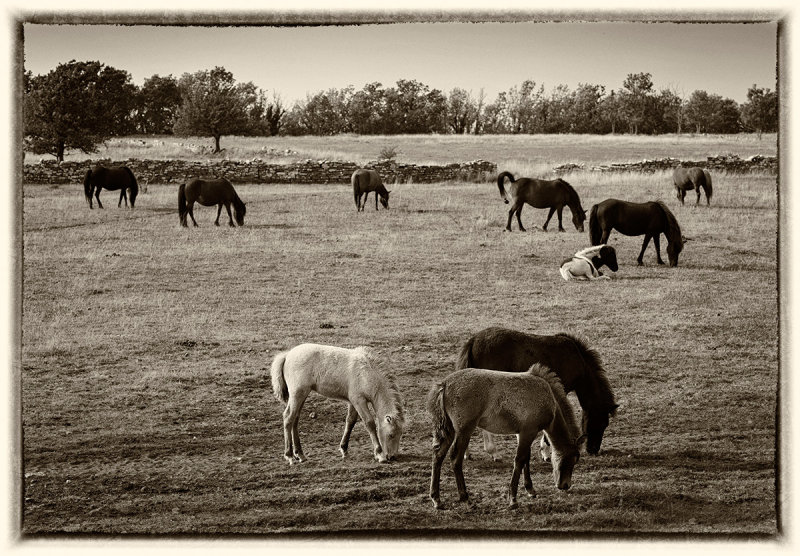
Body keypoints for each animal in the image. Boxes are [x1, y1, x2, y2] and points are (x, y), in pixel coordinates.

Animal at [270, 344, 406, 464]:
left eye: (400, 434)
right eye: (391, 435)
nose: (392, 456)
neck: (367, 372)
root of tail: (287, 355)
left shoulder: (353, 402)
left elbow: (350, 421)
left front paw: (344, 449)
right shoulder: (359, 401)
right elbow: (370, 423)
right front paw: (379, 454)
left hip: (301, 395)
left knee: (295, 418)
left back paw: (300, 455)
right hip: (297, 394)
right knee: (288, 417)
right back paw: (289, 456)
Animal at [428, 362, 584, 510]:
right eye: (571, 459)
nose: (565, 485)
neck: (548, 398)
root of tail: (445, 384)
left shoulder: (522, 433)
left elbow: (526, 458)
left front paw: (530, 489)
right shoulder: (529, 431)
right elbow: (519, 460)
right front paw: (513, 499)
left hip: (449, 430)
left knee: (438, 455)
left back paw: (437, 499)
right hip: (464, 430)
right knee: (455, 459)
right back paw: (465, 497)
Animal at [456, 326, 620, 460]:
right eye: (602, 423)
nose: (593, 450)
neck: (578, 360)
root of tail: (473, 340)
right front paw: (546, 452)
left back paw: (467, 453)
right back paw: (493, 452)